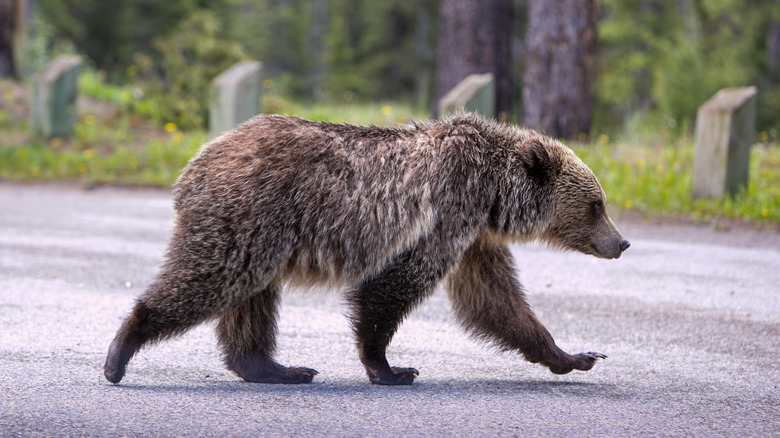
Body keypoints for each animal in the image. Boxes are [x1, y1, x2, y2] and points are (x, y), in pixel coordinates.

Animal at [103, 113, 628, 386]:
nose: (621, 242)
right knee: (212, 277)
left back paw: (277, 368)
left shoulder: (474, 237)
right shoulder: (444, 214)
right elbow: (391, 289)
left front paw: (574, 356)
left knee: (251, 300)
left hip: (262, 233)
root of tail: (194, 165)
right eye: (596, 205)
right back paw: (120, 352)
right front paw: (390, 367)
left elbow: (497, 302)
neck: (494, 193)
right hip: (251, 216)